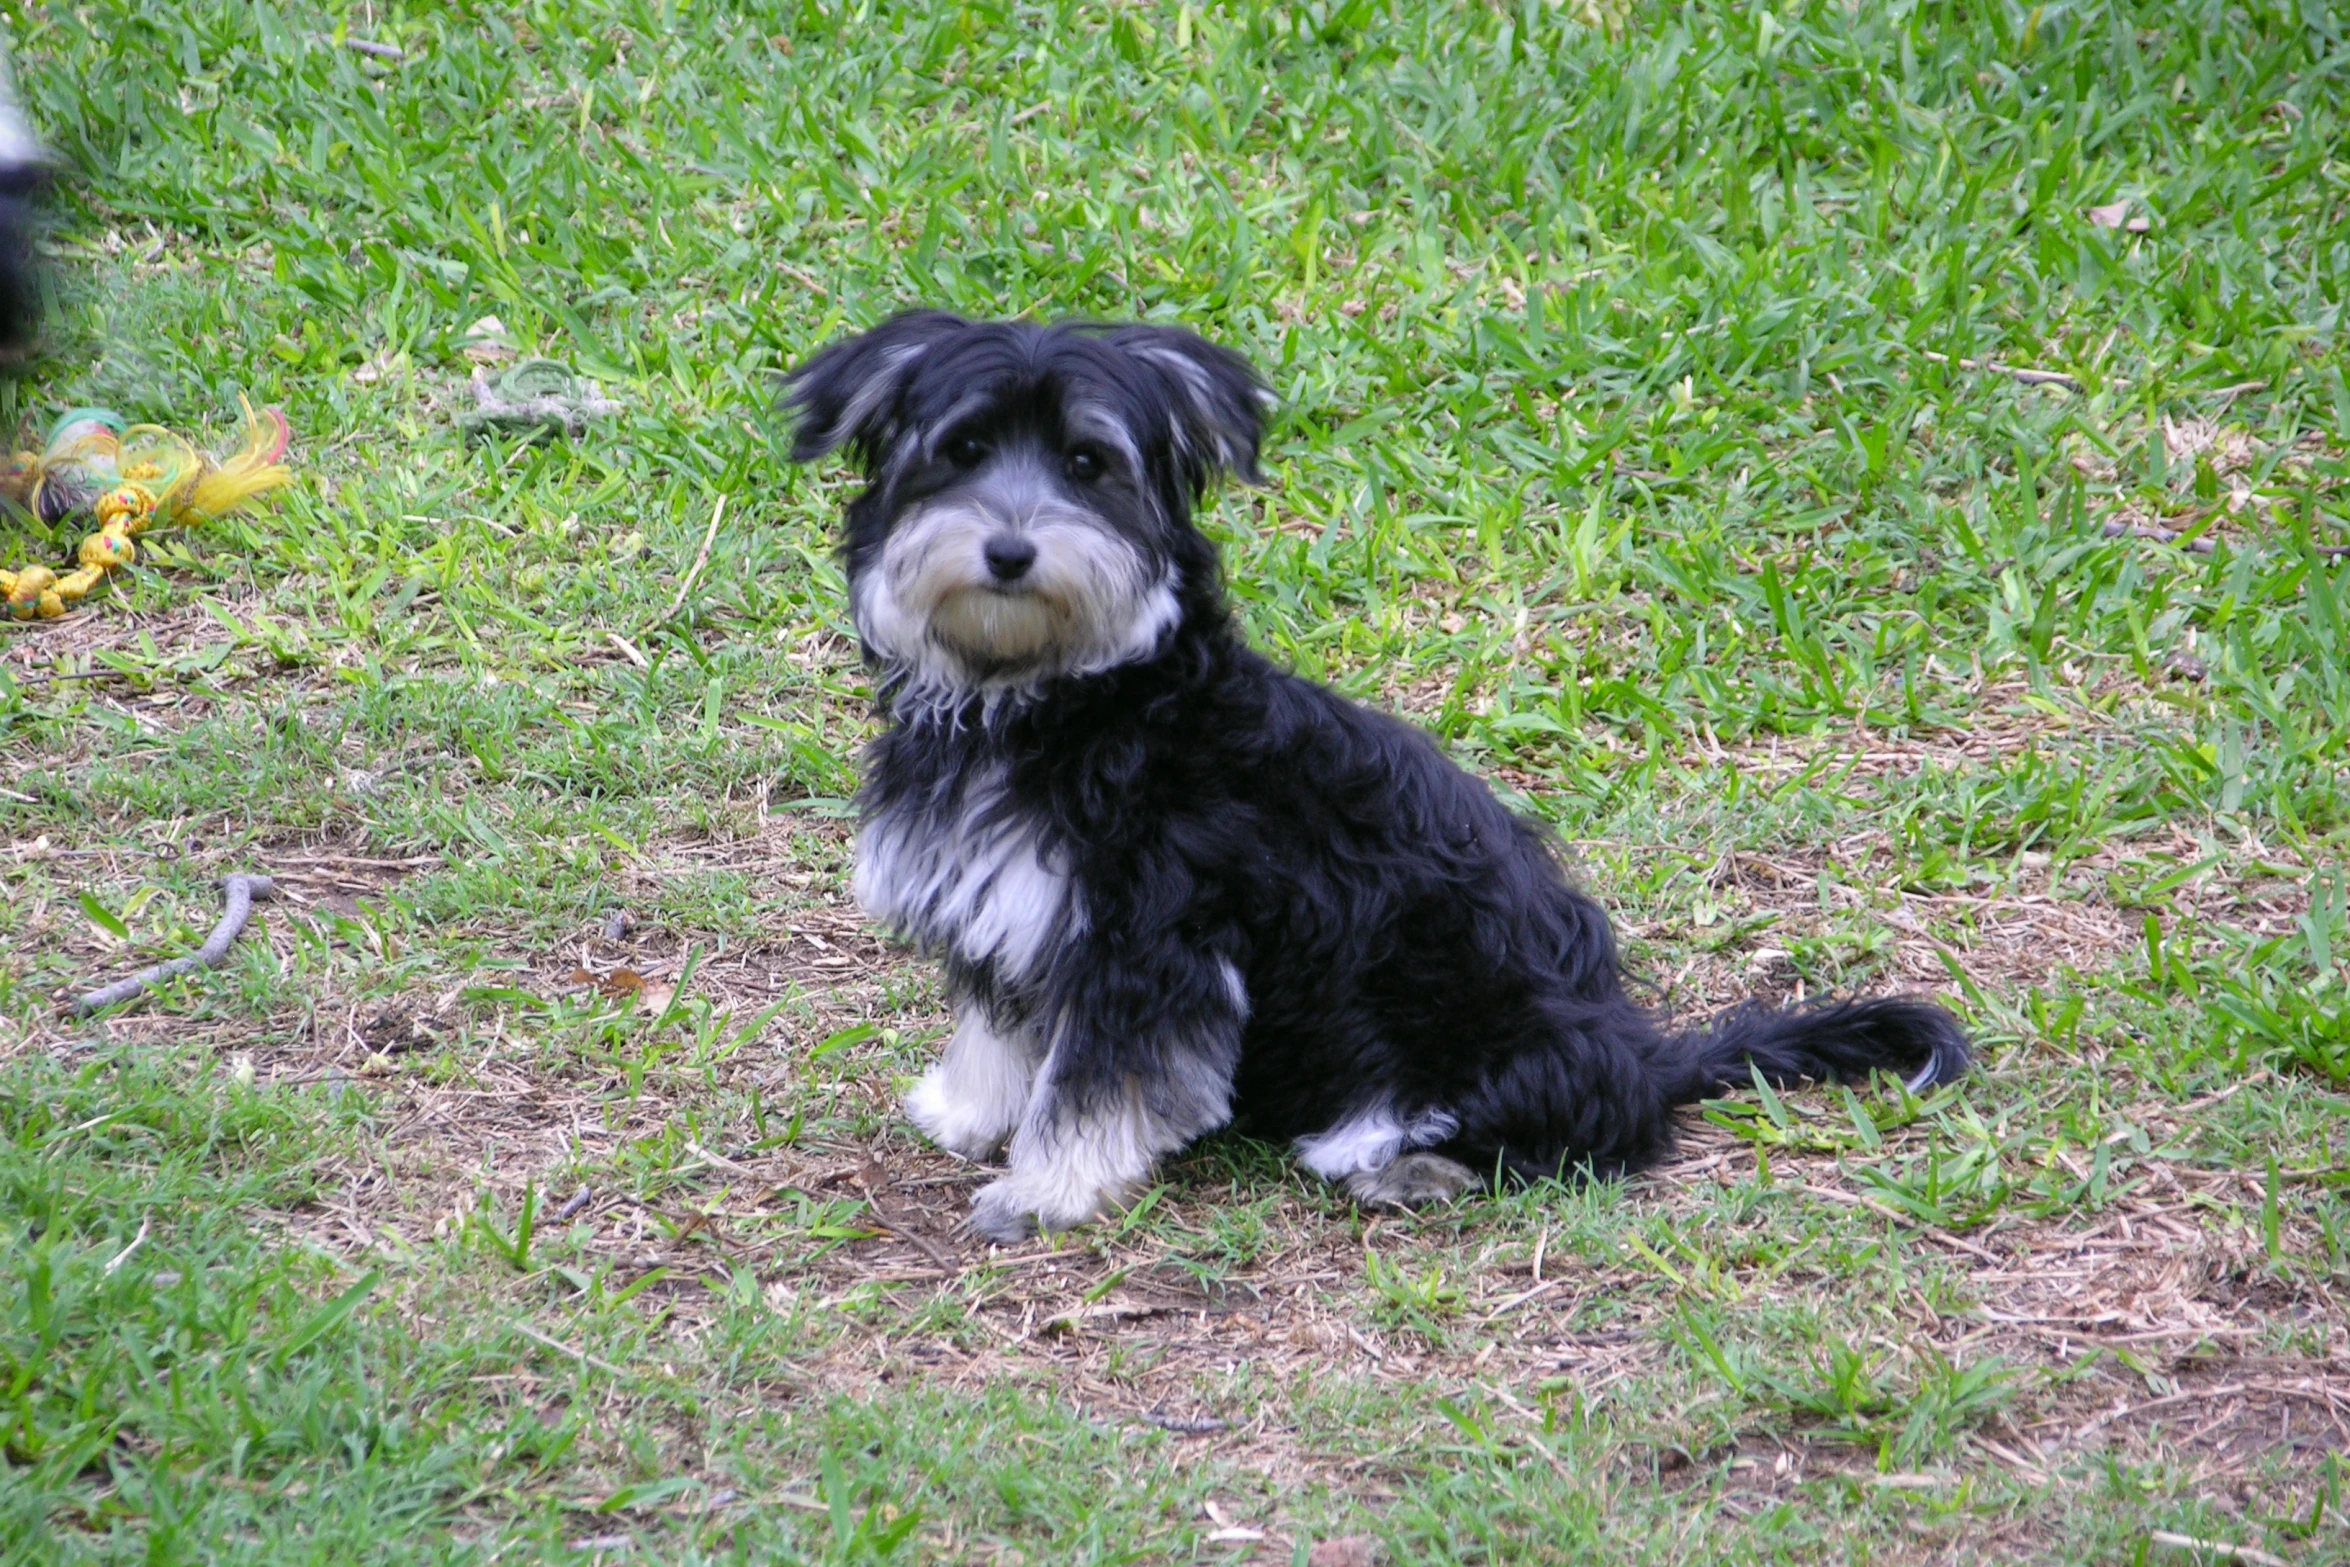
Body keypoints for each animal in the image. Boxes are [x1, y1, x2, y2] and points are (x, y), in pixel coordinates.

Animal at [784, 312, 1964, 1240]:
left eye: (1088, 465)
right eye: (963, 450)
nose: (1011, 551)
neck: (1056, 696)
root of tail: (1647, 1053)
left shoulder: (1148, 947)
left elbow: (1096, 1083)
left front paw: (1047, 1190)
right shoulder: (1007, 909)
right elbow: (998, 1028)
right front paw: (967, 1112)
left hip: (1472, 1044)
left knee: (1571, 1137)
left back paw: (1414, 1167)